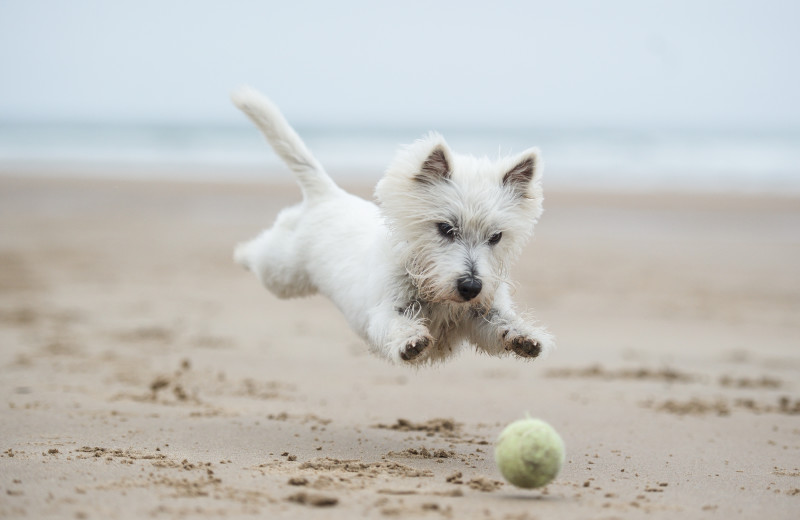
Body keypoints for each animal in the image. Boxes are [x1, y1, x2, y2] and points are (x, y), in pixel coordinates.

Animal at [234, 87, 552, 364]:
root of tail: (329, 194)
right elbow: (395, 324)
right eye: (445, 228)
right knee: (261, 252)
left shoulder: (480, 314)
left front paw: (526, 337)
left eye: (496, 237)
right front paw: (411, 341)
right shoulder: (385, 310)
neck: (433, 290)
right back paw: (241, 253)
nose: (471, 286)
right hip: (282, 273)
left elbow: (500, 324)